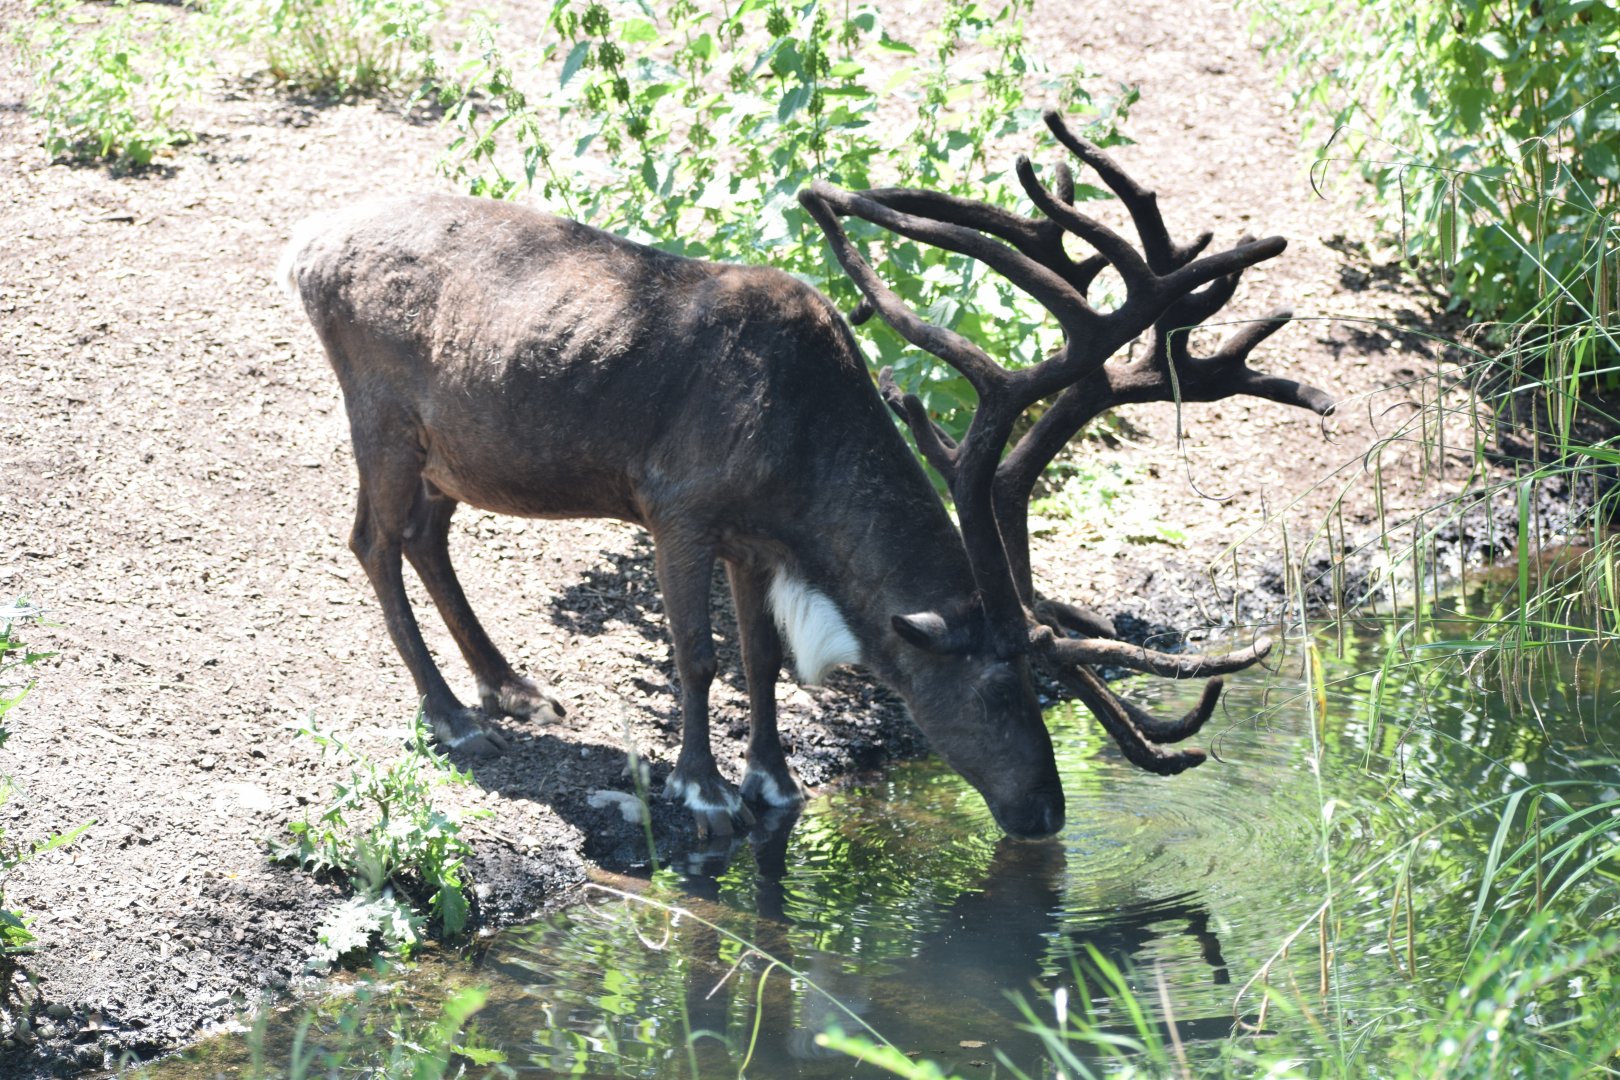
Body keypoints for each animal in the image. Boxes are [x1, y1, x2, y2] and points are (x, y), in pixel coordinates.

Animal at [278, 110, 1331, 841]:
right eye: (1001, 687)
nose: (1046, 815)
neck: (799, 469)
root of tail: (305, 248)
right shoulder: (678, 505)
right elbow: (697, 656)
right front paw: (702, 790)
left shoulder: (752, 537)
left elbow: (760, 659)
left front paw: (772, 784)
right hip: (379, 413)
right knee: (370, 539)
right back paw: (453, 716)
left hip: (451, 450)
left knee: (424, 535)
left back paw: (513, 688)